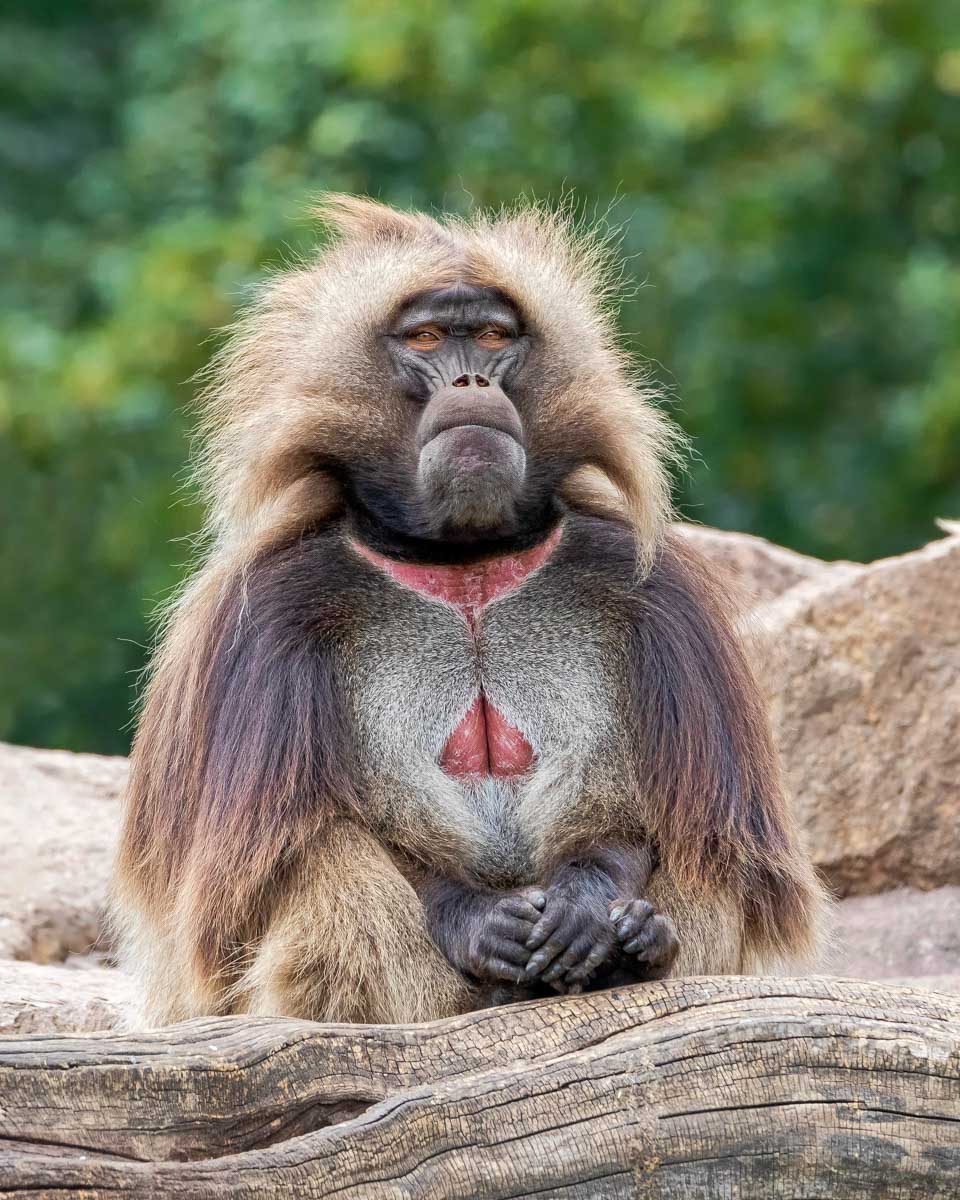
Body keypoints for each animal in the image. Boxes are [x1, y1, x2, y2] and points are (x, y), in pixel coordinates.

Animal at [111, 195, 826, 1027]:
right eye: (425, 338)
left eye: (491, 335)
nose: (472, 378)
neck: (463, 565)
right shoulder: (263, 622)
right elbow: (278, 862)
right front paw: (482, 924)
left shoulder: (657, 596)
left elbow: (687, 825)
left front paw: (586, 908)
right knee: (329, 867)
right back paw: (503, 985)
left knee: (710, 858)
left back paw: (637, 949)